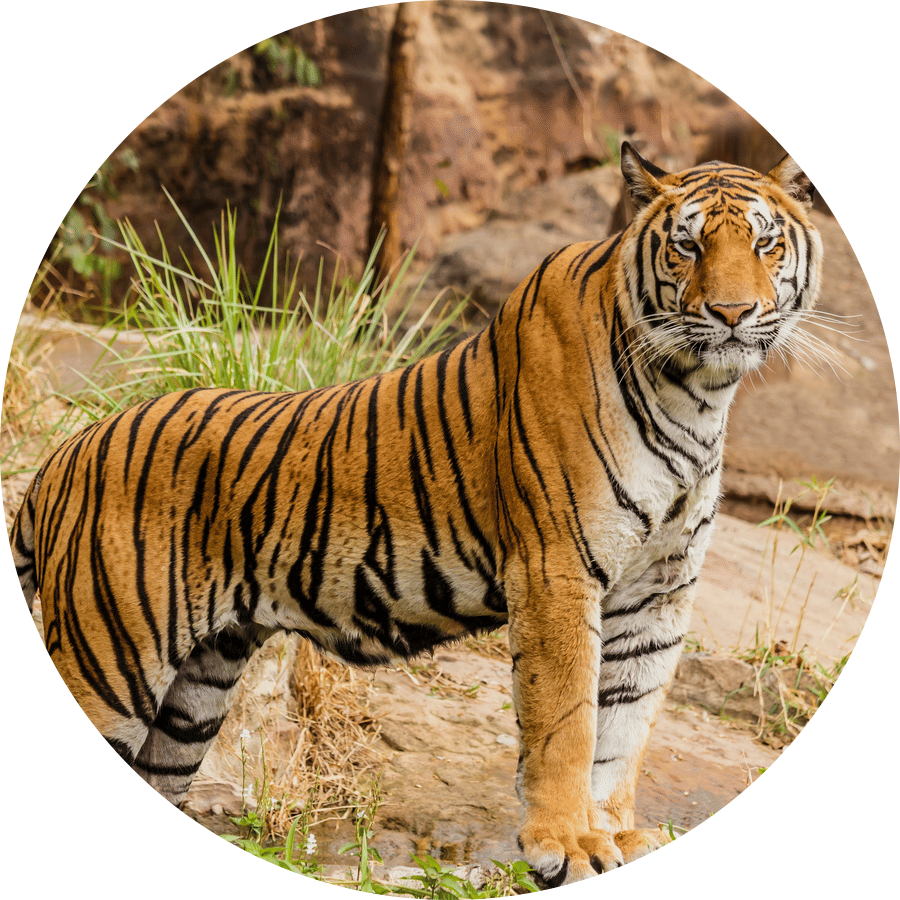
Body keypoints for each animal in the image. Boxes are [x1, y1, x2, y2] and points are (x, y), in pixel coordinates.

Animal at [9, 142, 821, 886]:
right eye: (688, 245)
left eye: (764, 243)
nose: (732, 313)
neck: (697, 394)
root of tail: (63, 455)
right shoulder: (558, 571)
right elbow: (569, 721)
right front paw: (567, 842)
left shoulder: (659, 589)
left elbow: (626, 722)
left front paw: (614, 835)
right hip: (112, 660)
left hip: (193, 695)